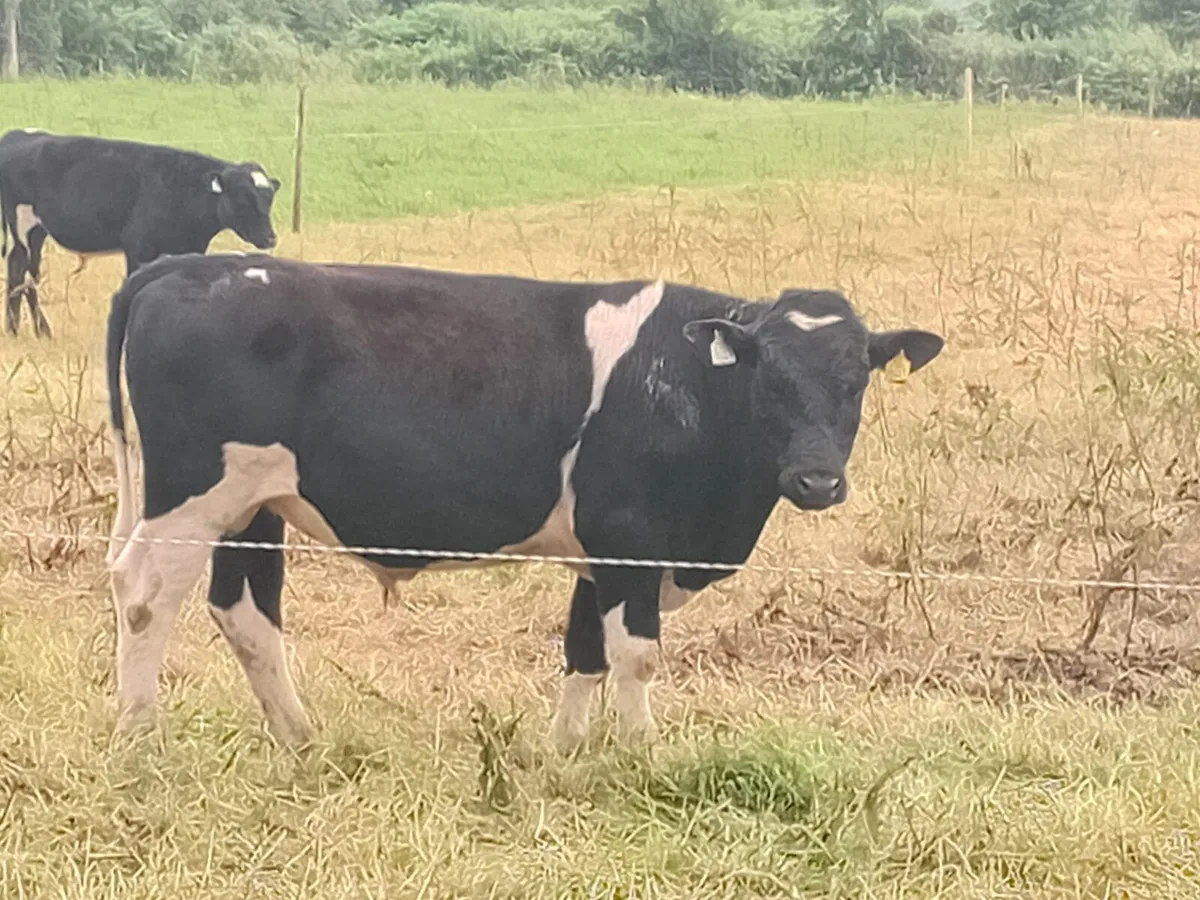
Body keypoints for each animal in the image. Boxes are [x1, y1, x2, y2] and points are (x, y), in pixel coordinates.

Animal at [0, 129, 281, 338]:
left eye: (269, 199)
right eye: (243, 199)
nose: (270, 237)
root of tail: (18, 135)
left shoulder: (188, 249)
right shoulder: (139, 248)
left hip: (37, 232)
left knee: (17, 270)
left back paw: (15, 329)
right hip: (25, 226)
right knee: (25, 273)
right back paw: (42, 330)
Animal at [103, 253, 944, 752]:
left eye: (856, 381)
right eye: (769, 377)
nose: (816, 482)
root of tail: (197, 263)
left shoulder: (604, 555)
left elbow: (583, 651)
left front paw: (564, 755)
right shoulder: (631, 541)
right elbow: (634, 657)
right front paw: (643, 759)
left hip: (254, 508)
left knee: (245, 612)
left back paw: (303, 739)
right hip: (189, 499)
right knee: (145, 598)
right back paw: (142, 737)